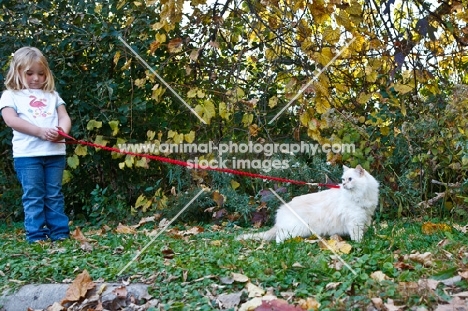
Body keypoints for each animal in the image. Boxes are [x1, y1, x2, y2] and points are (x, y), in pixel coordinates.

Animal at [238, 166, 380, 244]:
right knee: (278, 239)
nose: (344, 184)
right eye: (343, 180)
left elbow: (363, 231)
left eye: (350, 179)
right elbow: (357, 236)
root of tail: (280, 212)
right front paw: (360, 243)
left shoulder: (365, 218)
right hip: (295, 230)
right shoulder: (354, 221)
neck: (361, 196)